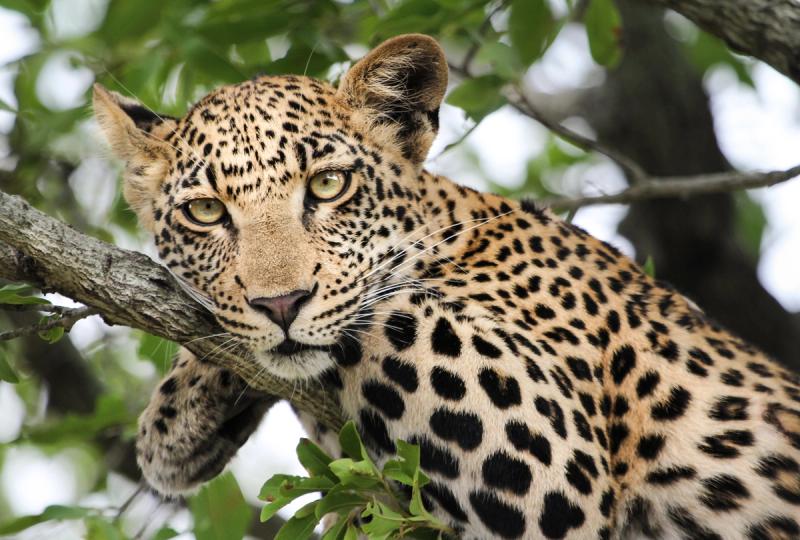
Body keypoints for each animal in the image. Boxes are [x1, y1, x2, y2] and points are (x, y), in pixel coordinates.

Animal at [93, 34, 800, 539]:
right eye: (205, 212)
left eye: (327, 185)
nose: (281, 304)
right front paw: (175, 423)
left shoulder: (552, 455)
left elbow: (384, 303)